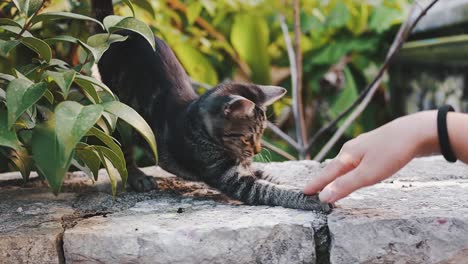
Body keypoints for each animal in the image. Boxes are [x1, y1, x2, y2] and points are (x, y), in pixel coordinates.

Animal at [94, 1, 330, 212]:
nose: (257, 150)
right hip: (121, 116)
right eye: (248, 137)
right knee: (122, 151)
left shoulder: (248, 167)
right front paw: (312, 199)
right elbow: (272, 190)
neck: (198, 124)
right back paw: (137, 176)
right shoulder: (233, 179)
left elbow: (276, 180)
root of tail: (117, 28)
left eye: (262, 133)